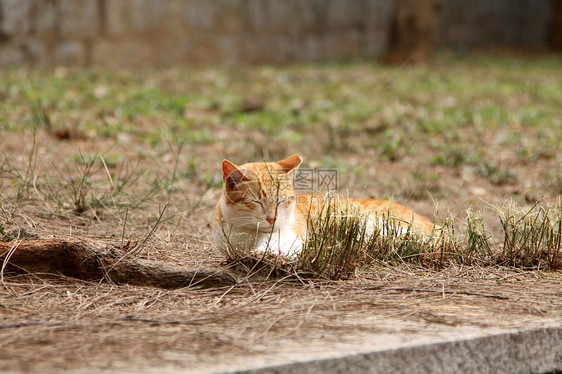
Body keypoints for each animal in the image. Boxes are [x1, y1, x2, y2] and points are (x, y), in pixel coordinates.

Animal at [212, 153, 436, 258]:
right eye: (256, 202)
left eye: (282, 201)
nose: (271, 218)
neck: (247, 233)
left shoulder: (293, 235)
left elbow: (277, 244)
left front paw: (263, 252)